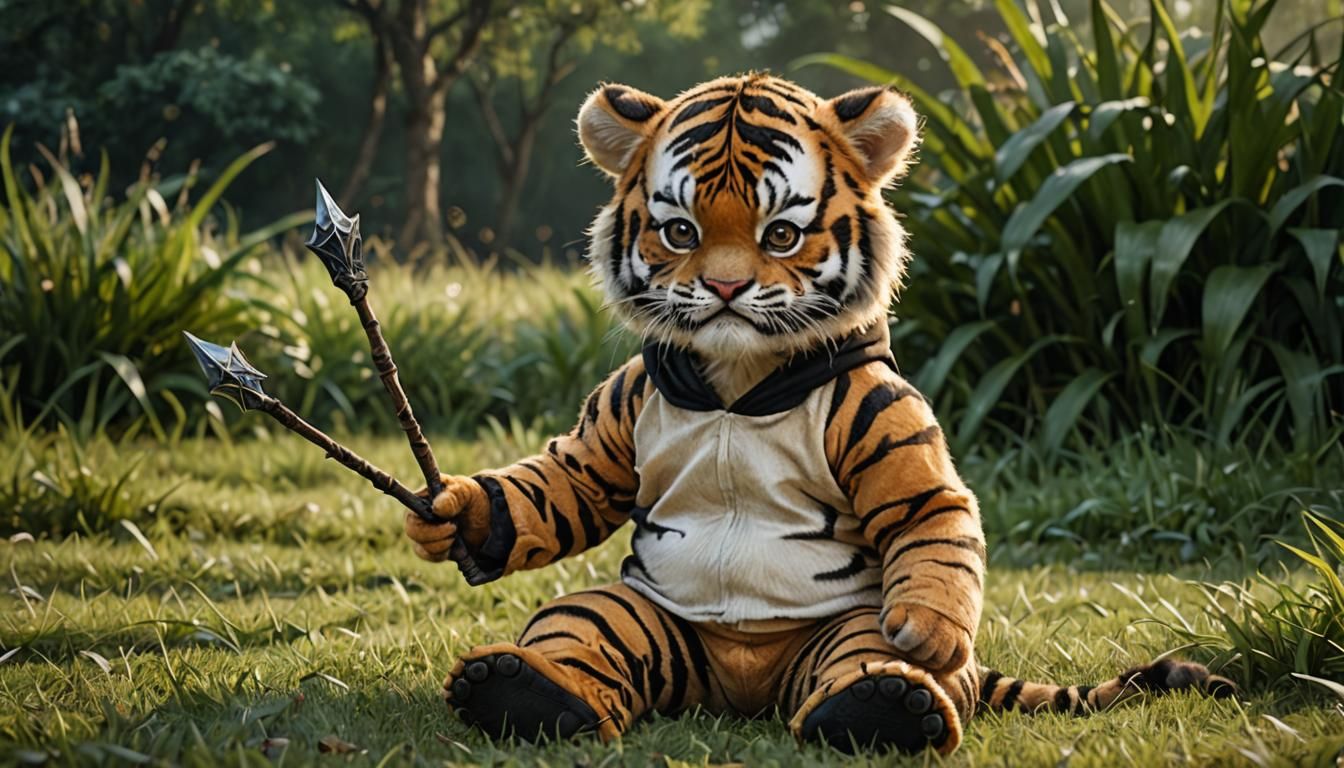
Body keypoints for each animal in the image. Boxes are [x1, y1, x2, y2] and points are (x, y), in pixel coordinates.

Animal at [404, 73, 1234, 755]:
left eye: (780, 234)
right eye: (681, 231)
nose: (725, 288)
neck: (736, 384)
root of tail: (741, 692)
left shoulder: (884, 415)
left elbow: (928, 512)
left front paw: (932, 634)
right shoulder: (620, 408)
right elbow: (565, 485)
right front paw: (456, 511)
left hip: (845, 628)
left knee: (867, 646)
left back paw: (888, 701)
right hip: (633, 615)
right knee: (578, 620)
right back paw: (522, 691)